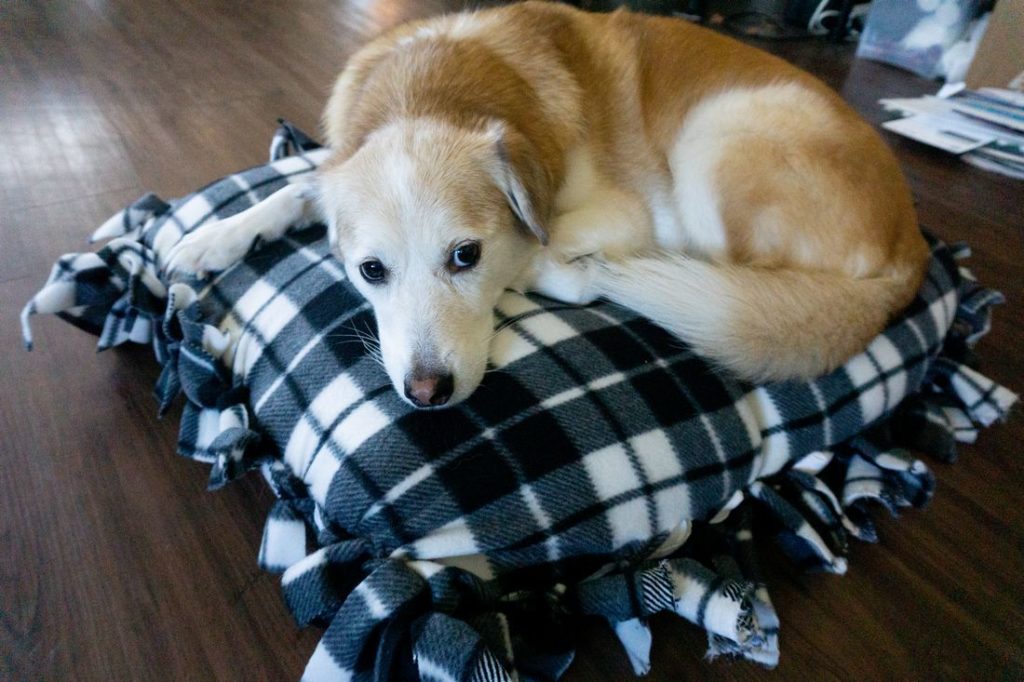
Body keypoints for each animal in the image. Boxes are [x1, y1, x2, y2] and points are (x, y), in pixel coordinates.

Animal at [165, 1, 929, 409]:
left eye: (465, 255)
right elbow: (298, 182)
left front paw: (561, 268)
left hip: (716, 138)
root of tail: (912, 252)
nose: (427, 393)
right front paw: (212, 237)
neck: (431, 91)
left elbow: (543, 244)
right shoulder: (334, 162)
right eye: (370, 271)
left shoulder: (624, 212)